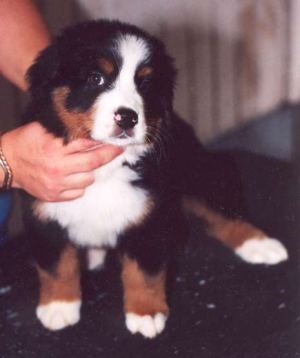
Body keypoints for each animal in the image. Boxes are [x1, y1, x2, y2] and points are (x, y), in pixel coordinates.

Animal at [21, 19, 288, 338]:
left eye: (145, 84)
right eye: (96, 78)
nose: (127, 117)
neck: (106, 167)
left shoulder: (149, 215)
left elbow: (143, 272)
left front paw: (145, 313)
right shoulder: (44, 211)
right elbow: (57, 265)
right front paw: (59, 306)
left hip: (198, 171)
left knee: (223, 211)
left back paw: (261, 245)